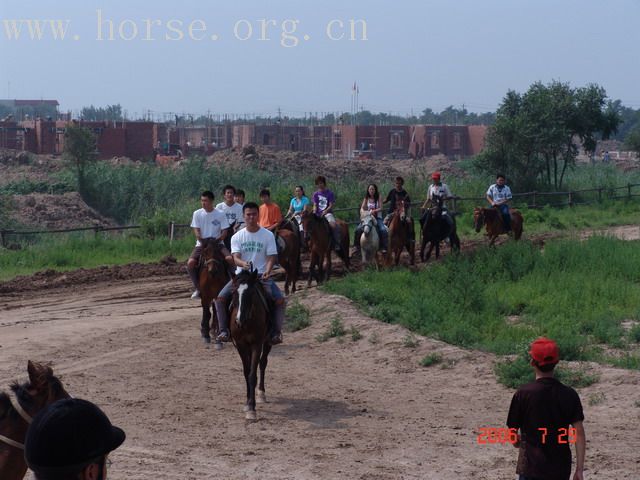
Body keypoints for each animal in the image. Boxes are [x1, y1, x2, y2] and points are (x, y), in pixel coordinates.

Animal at [229, 266, 272, 420]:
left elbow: (252, 374)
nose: (239, 320)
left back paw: (261, 393)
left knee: (263, 363)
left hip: (267, 342)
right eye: (233, 292)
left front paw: (252, 409)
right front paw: (247, 403)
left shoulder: (256, 345)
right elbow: (246, 372)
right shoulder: (241, 346)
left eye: (251, 293)